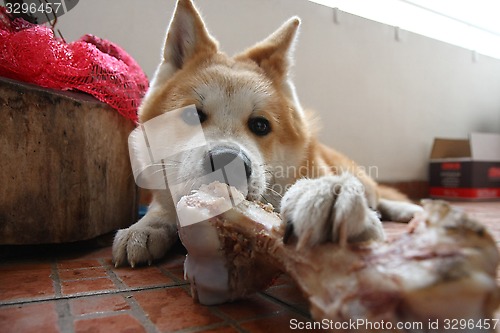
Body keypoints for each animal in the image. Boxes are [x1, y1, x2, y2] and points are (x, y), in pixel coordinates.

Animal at [110, 0, 422, 266]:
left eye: (260, 125)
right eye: (192, 116)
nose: (227, 161)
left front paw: (323, 198)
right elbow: (160, 208)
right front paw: (146, 227)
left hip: (360, 178)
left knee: (379, 197)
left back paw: (409, 211)